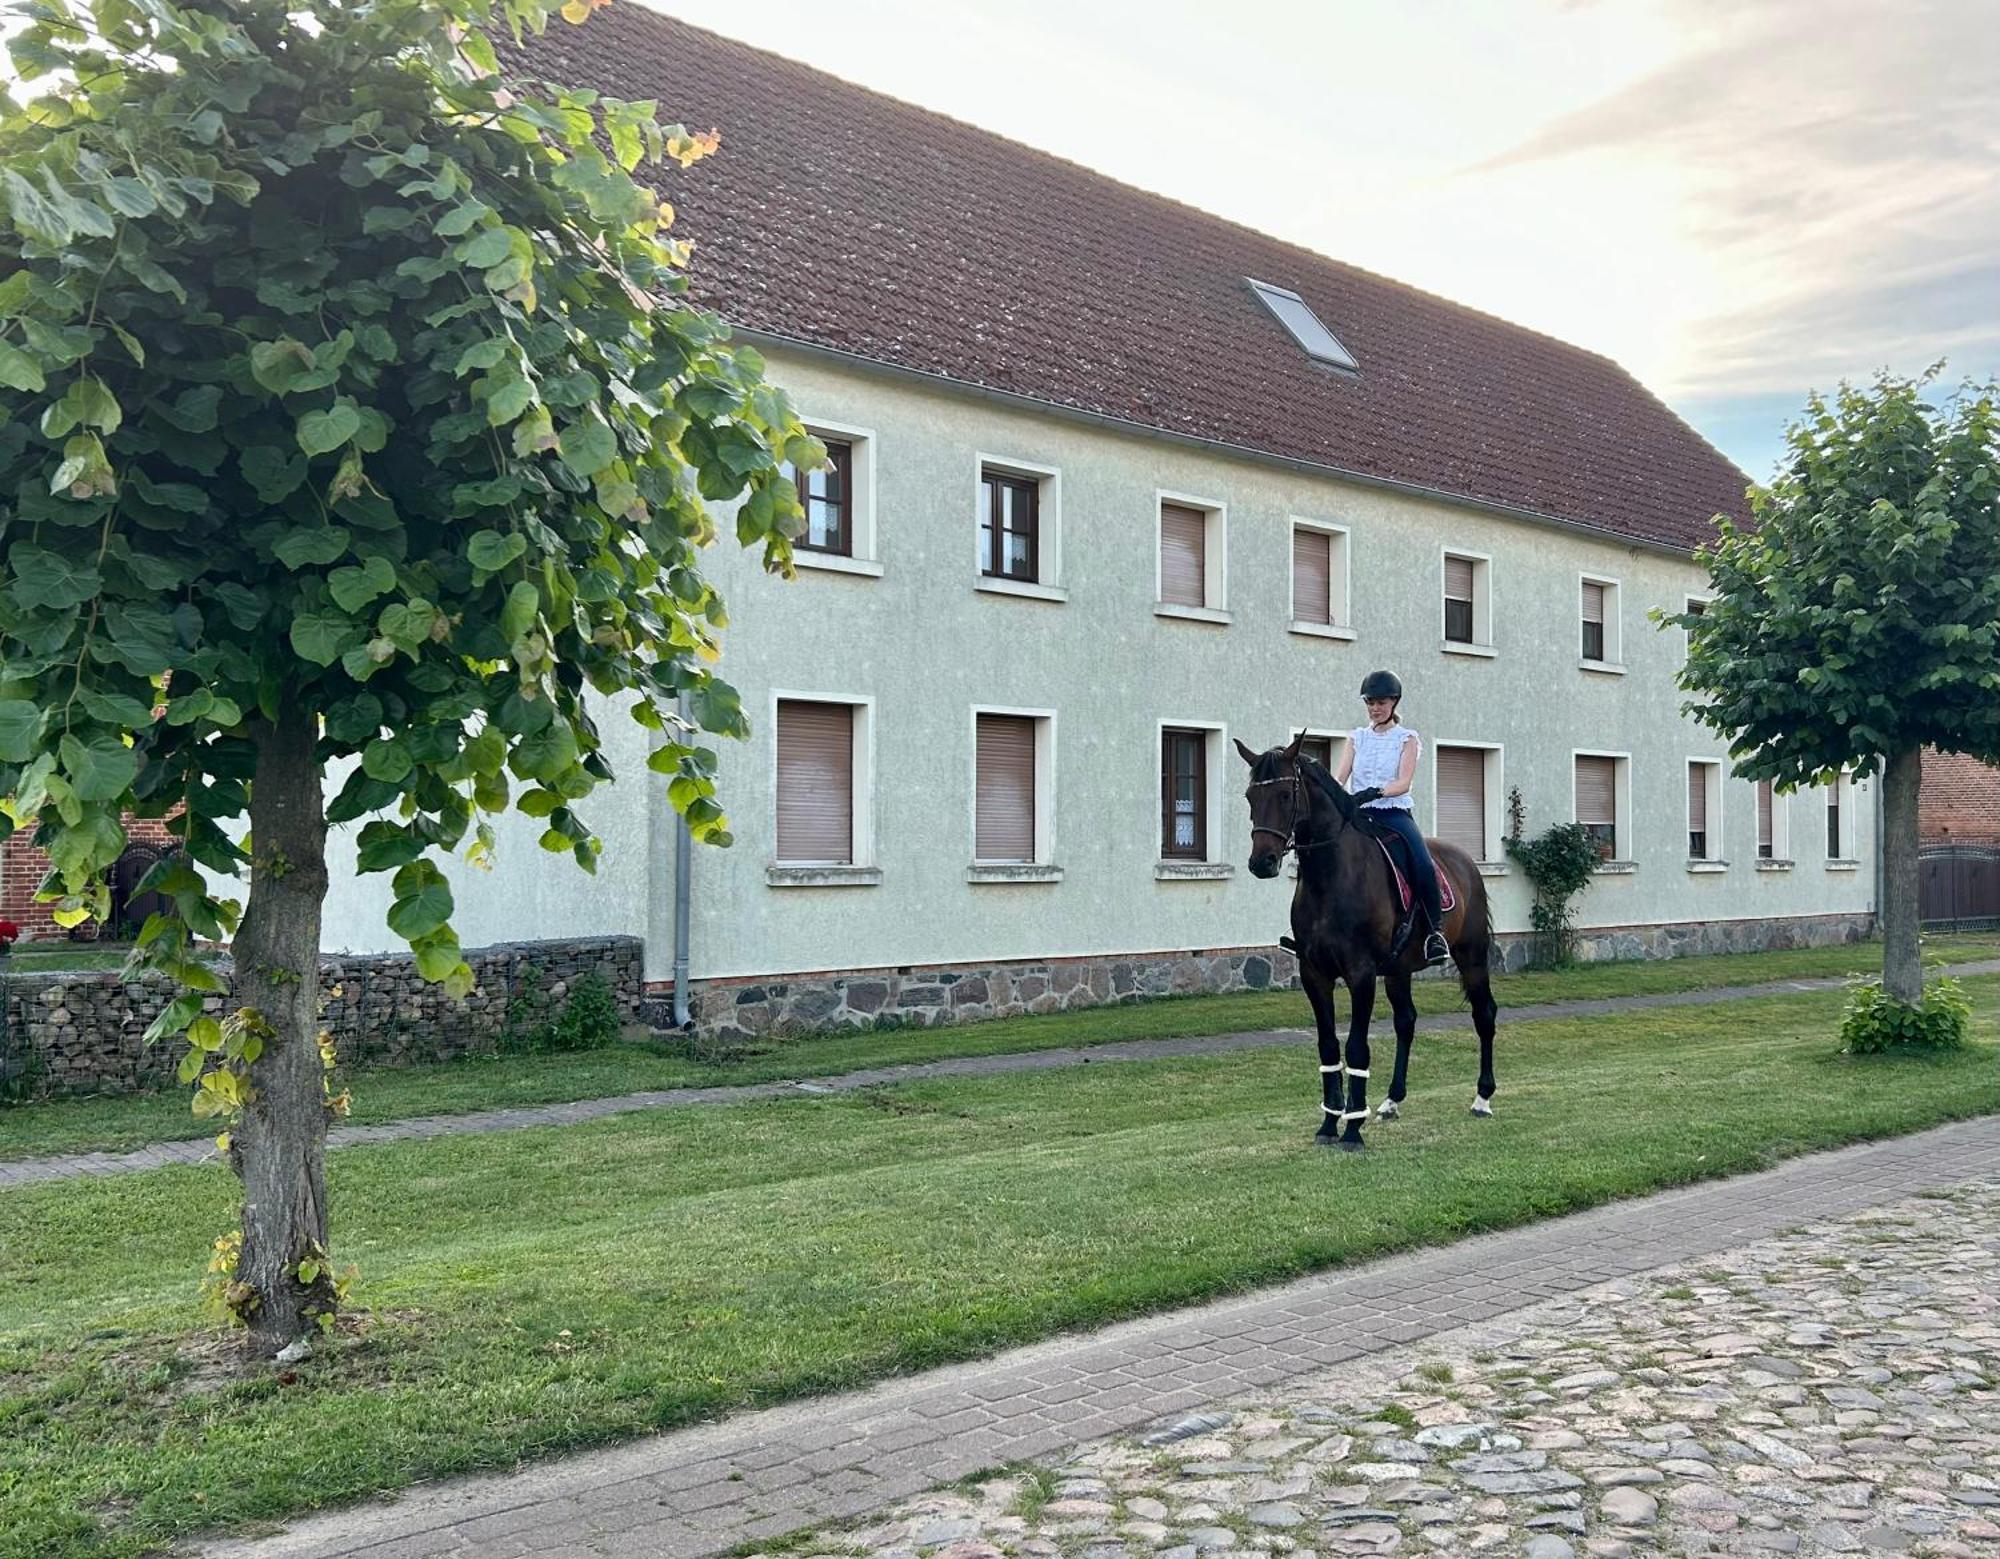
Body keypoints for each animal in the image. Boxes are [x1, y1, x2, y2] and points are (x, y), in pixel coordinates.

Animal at [1232, 735, 1504, 1151]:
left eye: (1284, 794)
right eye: (1250, 796)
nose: (1262, 862)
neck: (1330, 877)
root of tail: (1466, 862)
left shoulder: (1360, 974)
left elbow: (1356, 1047)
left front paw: (1352, 1129)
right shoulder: (1315, 974)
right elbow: (1329, 1046)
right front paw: (1329, 1123)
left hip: (1471, 955)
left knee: (1484, 1015)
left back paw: (1482, 1098)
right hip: (1398, 970)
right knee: (1406, 1022)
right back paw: (1393, 1101)